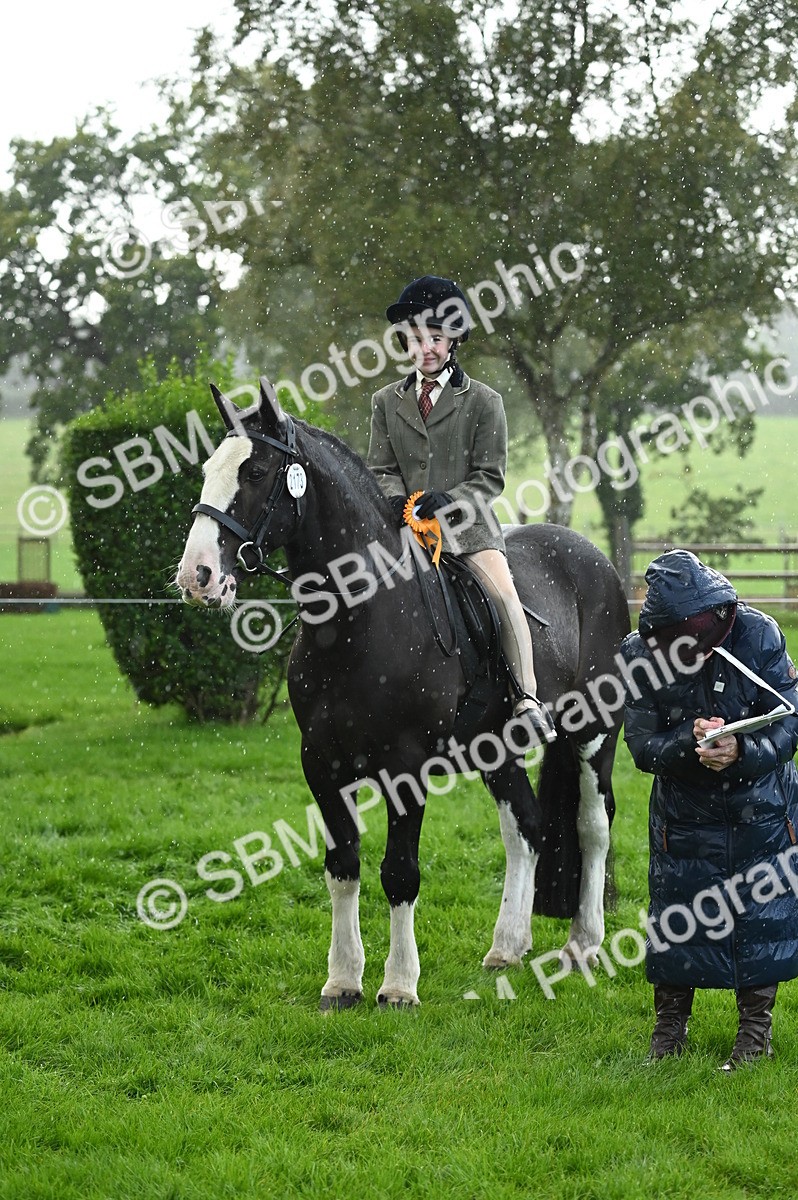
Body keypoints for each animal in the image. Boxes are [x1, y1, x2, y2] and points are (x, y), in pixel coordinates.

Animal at [176, 378, 631, 1009]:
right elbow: (342, 865)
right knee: (526, 828)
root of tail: (597, 561)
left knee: (592, 824)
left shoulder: (405, 766)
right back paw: (508, 946)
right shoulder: (321, 763)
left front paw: (398, 985)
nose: (196, 576)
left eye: (258, 471)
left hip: (594, 731)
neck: (359, 617)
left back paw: (584, 943)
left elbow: (399, 871)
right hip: (497, 748)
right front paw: (343, 980)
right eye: (209, 469)